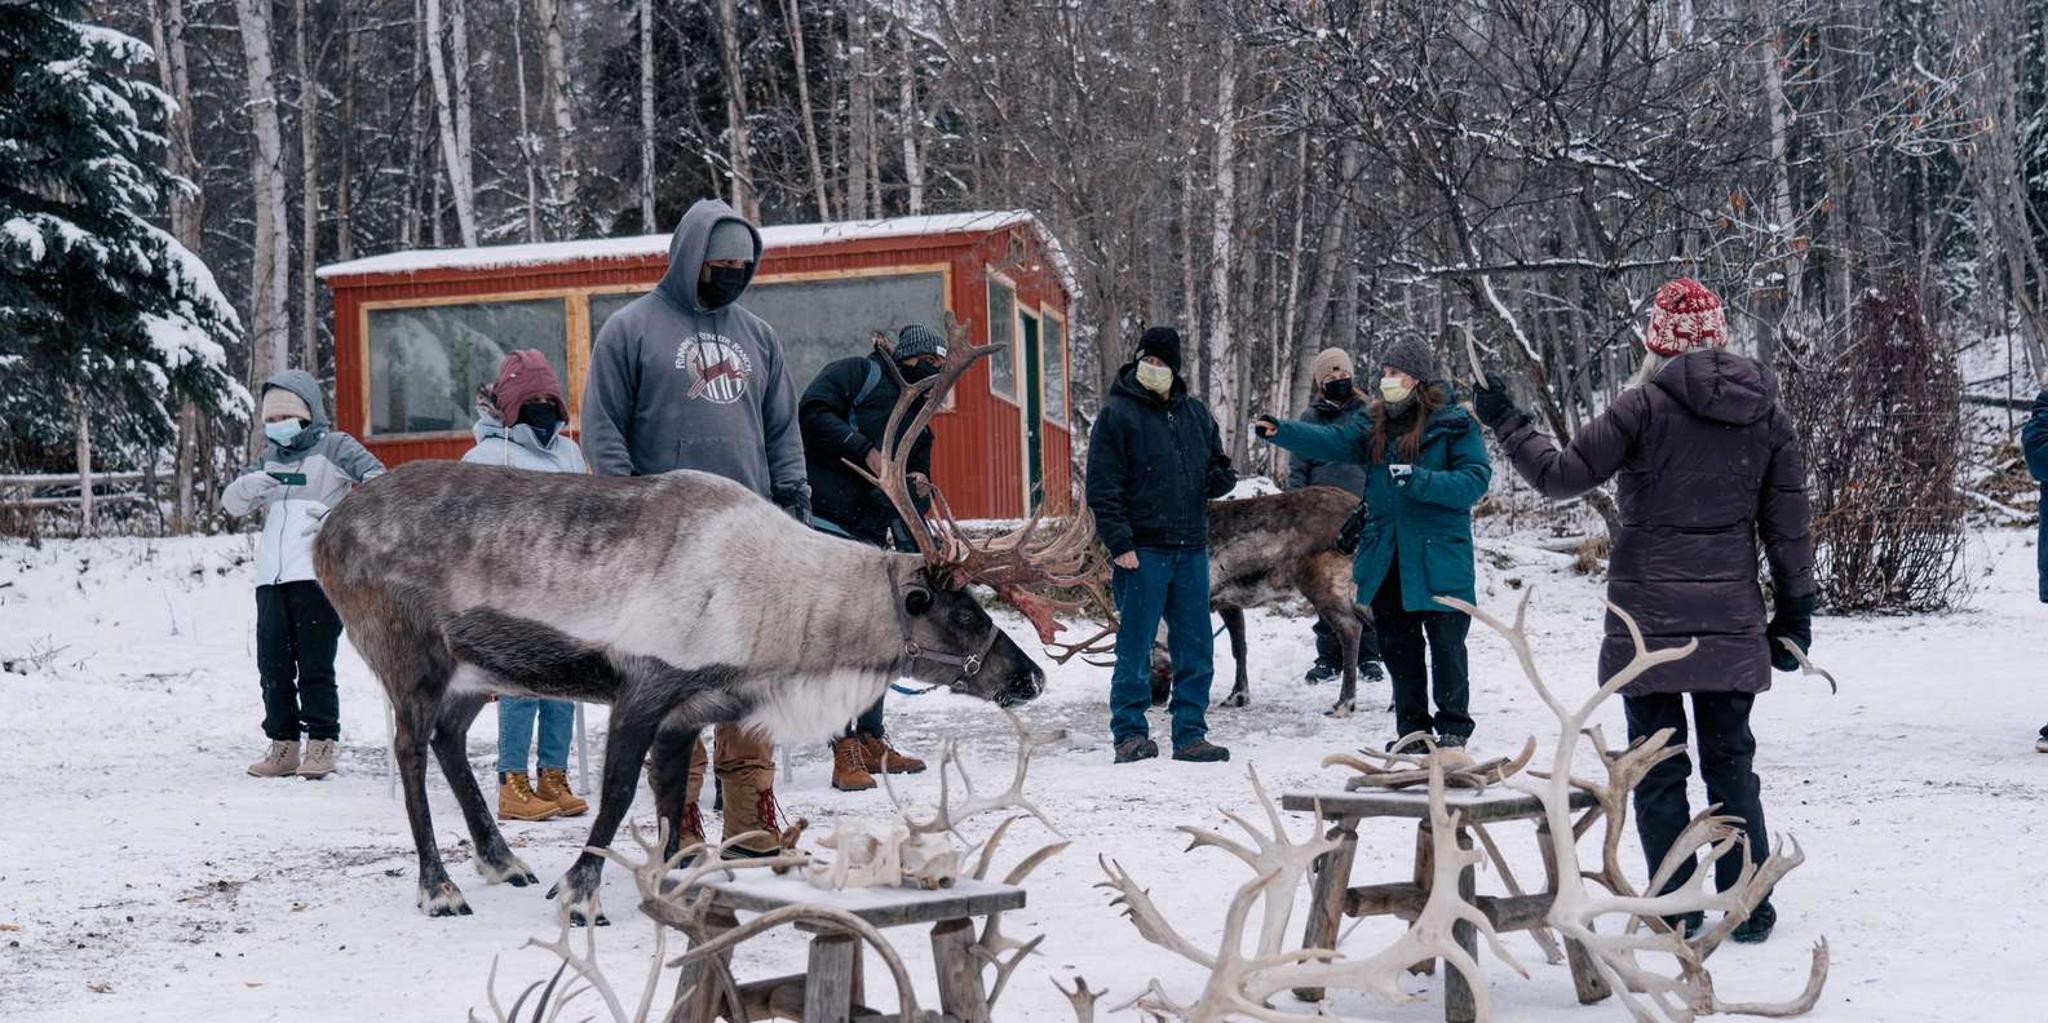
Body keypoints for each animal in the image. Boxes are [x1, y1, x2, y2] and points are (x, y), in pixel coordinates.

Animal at [311, 319, 1100, 923]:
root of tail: (326, 533)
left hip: (478, 672)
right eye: (964, 611)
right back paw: (440, 887)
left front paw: (675, 882)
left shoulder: (689, 711)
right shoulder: (643, 689)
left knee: (448, 740)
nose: (1030, 676)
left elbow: (668, 801)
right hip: (410, 657)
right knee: (412, 752)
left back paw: (502, 861)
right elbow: (619, 796)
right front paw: (582, 893)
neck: (778, 612)